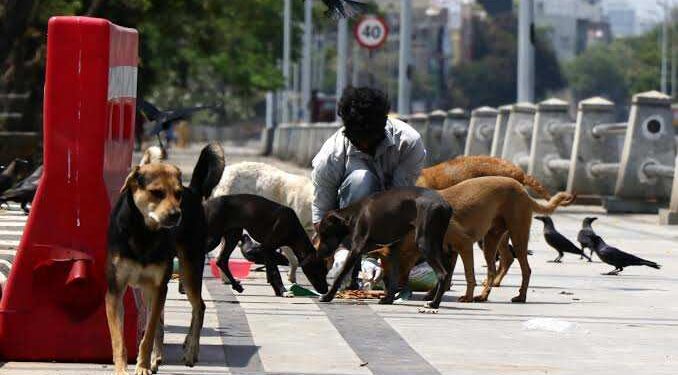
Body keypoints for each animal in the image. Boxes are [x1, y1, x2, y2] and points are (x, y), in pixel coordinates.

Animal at [105, 143, 224, 375]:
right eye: (157, 193)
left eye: (177, 194)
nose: (177, 215)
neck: (143, 232)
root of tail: (192, 191)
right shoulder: (115, 291)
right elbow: (118, 339)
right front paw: (123, 368)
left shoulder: (159, 286)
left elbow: (149, 334)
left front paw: (141, 366)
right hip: (150, 289)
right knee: (161, 321)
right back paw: (157, 358)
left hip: (189, 270)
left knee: (199, 307)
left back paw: (190, 350)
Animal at [316, 187, 454, 308]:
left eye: (324, 234)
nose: (319, 254)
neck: (354, 214)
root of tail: (445, 205)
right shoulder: (392, 250)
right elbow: (393, 278)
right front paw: (389, 299)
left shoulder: (356, 250)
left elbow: (340, 275)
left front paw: (327, 296)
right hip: (437, 245)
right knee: (446, 272)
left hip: (424, 243)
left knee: (443, 274)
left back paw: (434, 303)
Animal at [378, 177, 572, 306]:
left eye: (390, 271)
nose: (387, 293)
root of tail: (522, 190)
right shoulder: (449, 252)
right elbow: (445, 276)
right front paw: (433, 296)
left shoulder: (464, 245)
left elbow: (468, 275)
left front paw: (467, 297)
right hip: (491, 240)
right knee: (493, 269)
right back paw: (484, 296)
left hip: (517, 236)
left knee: (525, 269)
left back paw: (520, 297)